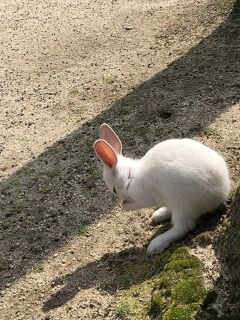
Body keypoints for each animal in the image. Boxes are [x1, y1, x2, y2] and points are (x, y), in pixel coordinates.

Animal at [94, 123, 231, 255]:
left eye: (114, 190)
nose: (121, 199)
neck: (130, 176)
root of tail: (222, 192)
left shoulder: (143, 198)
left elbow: (135, 205)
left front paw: (125, 205)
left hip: (182, 206)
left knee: (183, 227)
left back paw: (155, 245)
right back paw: (158, 215)